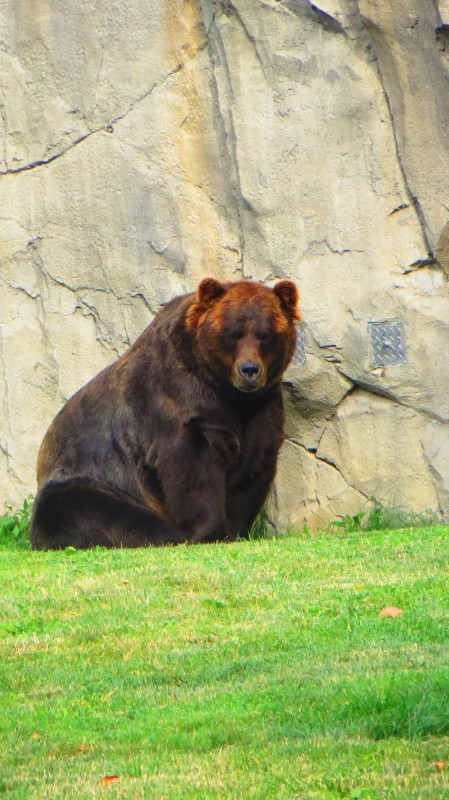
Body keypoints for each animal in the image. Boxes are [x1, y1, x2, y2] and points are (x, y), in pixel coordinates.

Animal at [29, 276, 300, 552]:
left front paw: (235, 530)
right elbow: (191, 469)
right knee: (100, 513)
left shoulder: (261, 408)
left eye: (265, 335)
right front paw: (208, 530)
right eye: (232, 334)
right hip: (88, 479)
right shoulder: (177, 400)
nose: (249, 370)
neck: (229, 394)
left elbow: (253, 467)